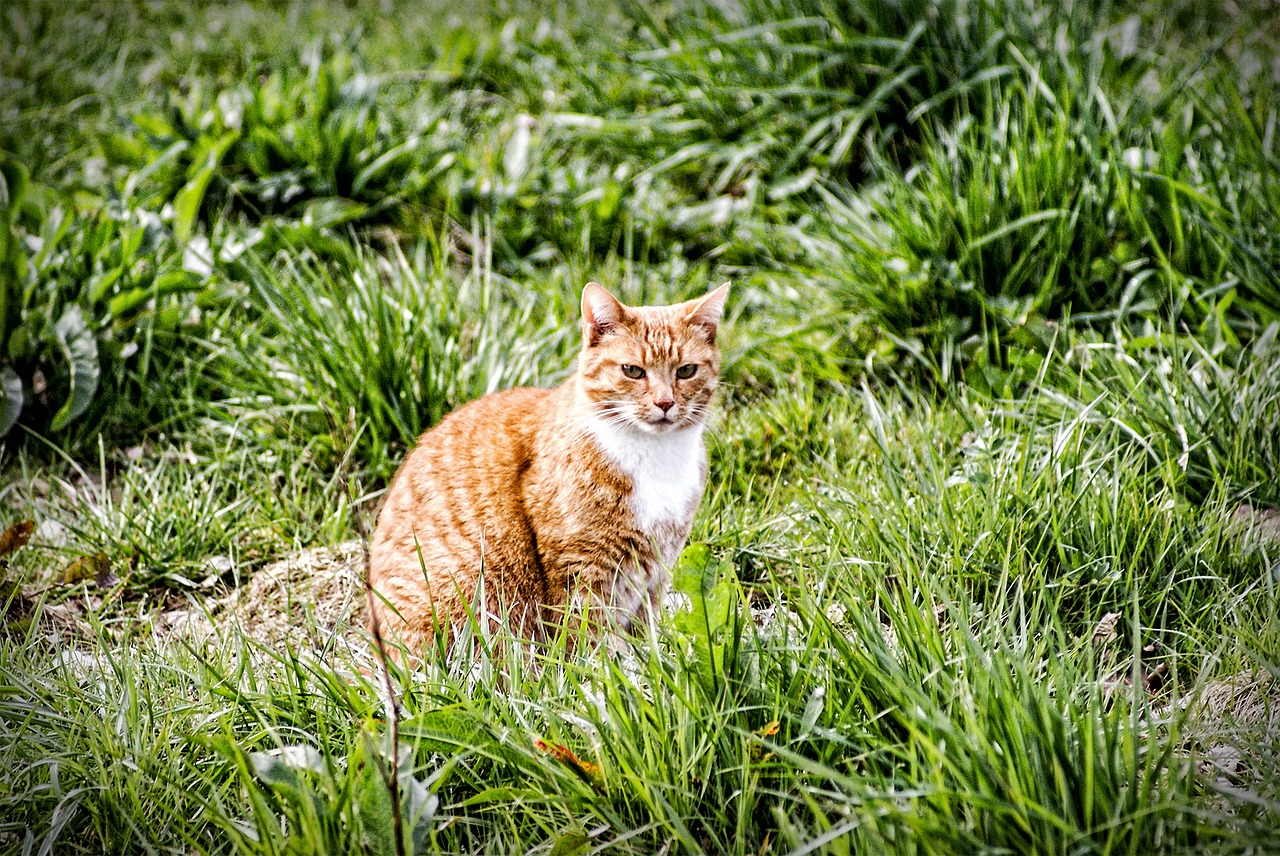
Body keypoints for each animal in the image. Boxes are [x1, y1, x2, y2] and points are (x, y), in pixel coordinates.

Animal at [371, 280, 732, 655]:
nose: (665, 403)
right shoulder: (580, 568)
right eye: (632, 371)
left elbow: (643, 636)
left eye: (686, 371)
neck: (656, 457)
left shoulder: (656, 572)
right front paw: (602, 669)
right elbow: (588, 639)